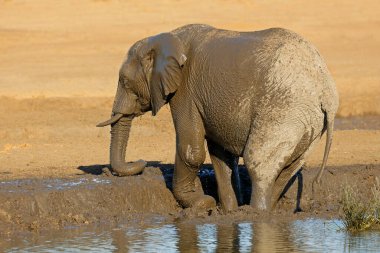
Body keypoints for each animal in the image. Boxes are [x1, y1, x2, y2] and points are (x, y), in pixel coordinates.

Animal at [97, 24, 338, 211]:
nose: (141, 162)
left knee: (258, 164)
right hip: (309, 122)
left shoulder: (186, 91)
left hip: (283, 110)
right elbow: (221, 155)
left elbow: (191, 150)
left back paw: (256, 214)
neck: (166, 38)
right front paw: (228, 211)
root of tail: (326, 93)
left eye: (124, 81)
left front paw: (201, 204)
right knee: (289, 169)